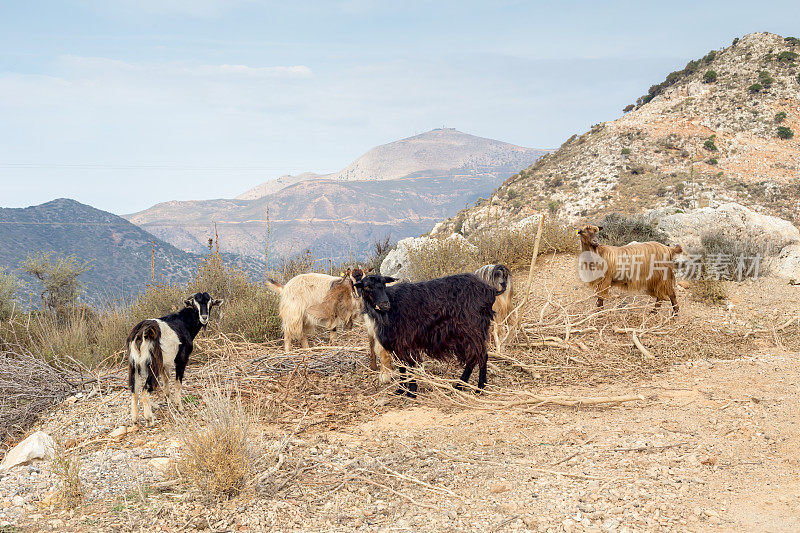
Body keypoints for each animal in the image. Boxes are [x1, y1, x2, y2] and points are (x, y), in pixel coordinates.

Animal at [127, 290, 222, 424]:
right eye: (194, 305)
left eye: (210, 304)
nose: (204, 317)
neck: (183, 323)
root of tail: (140, 334)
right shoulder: (181, 359)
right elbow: (178, 383)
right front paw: (179, 406)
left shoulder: (165, 364)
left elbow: (166, 380)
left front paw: (169, 400)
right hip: (153, 364)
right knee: (145, 390)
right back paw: (149, 419)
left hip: (133, 364)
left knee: (134, 390)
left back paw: (135, 419)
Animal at [354, 274, 494, 394]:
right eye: (367, 287)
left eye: (384, 284)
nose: (384, 304)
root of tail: (489, 290)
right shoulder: (397, 344)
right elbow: (402, 367)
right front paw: (401, 390)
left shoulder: (405, 340)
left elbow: (409, 365)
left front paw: (411, 391)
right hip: (468, 335)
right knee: (476, 357)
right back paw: (466, 386)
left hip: (472, 330)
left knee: (479, 356)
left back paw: (474, 387)